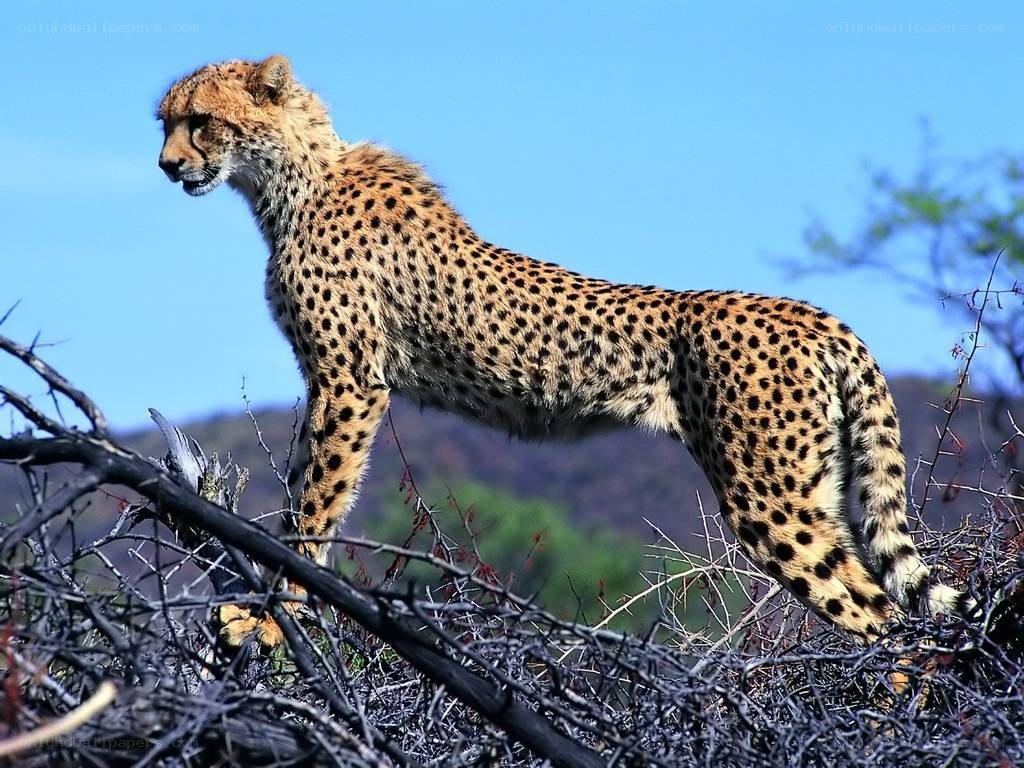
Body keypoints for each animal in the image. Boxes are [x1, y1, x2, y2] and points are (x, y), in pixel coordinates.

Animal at [157, 55, 972, 648]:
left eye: (202, 122)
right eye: (163, 123)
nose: (166, 166)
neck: (290, 178)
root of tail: (816, 316)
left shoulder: (349, 381)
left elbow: (315, 504)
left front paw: (273, 612)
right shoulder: (331, 382)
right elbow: (301, 487)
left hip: (770, 497)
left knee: (882, 617)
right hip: (816, 484)